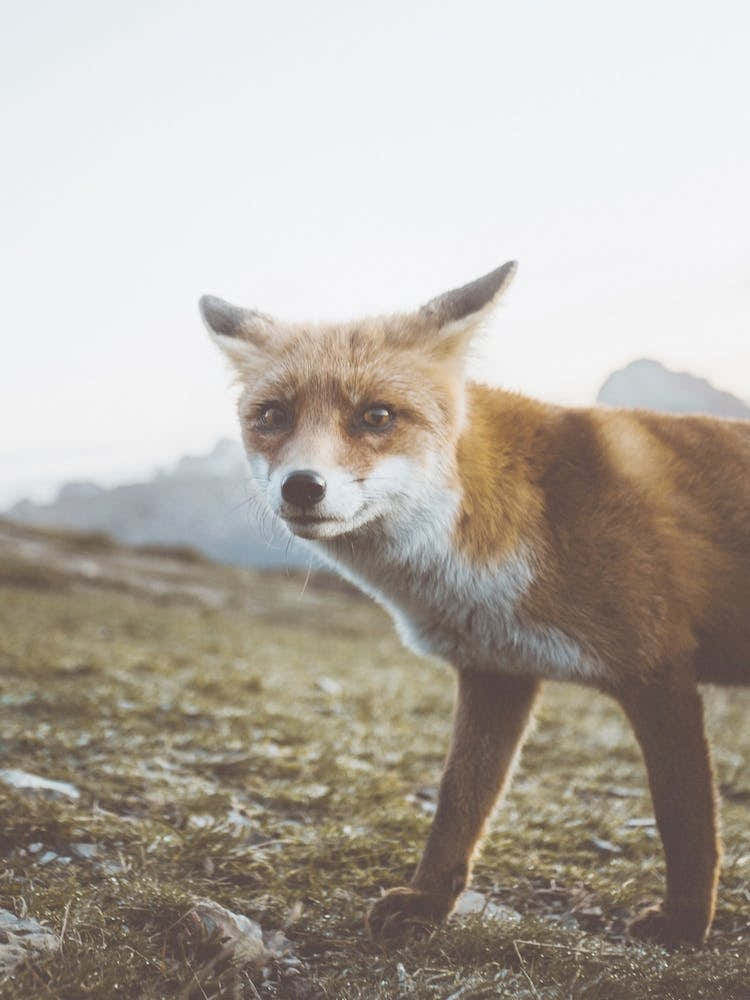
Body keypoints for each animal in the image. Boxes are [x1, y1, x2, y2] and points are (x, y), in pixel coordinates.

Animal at [200, 262, 750, 947]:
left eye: (377, 415)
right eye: (273, 415)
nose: (302, 486)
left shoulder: (659, 668)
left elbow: (685, 818)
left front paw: (684, 924)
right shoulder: (497, 669)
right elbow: (460, 803)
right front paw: (429, 902)